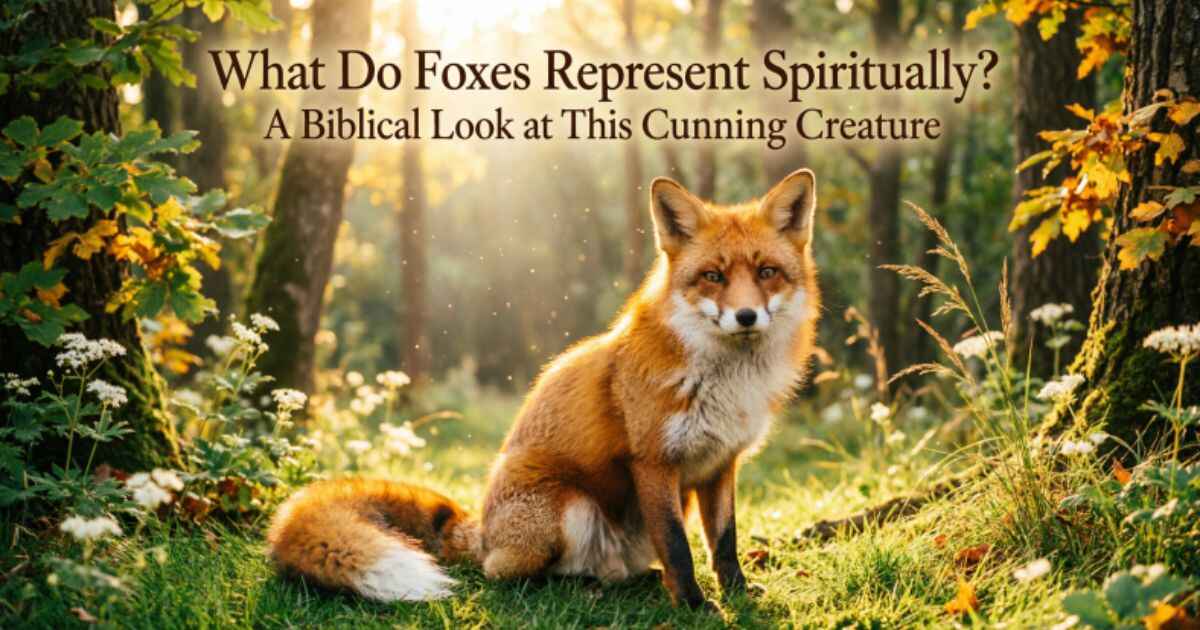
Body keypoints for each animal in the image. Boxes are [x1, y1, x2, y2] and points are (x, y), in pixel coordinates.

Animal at [267, 168, 822, 609]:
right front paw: (693, 606)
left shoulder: (720, 464)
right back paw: (577, 588)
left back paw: (629, 580)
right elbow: (680, 548)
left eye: (767, 272)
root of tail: (480, 527)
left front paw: (737, 595)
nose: (746, 316)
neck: (724, 384)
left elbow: (724, 543)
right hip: (568, 506)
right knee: (509, 573)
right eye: (713, 276)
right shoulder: (653, 461)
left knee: (611, 569)